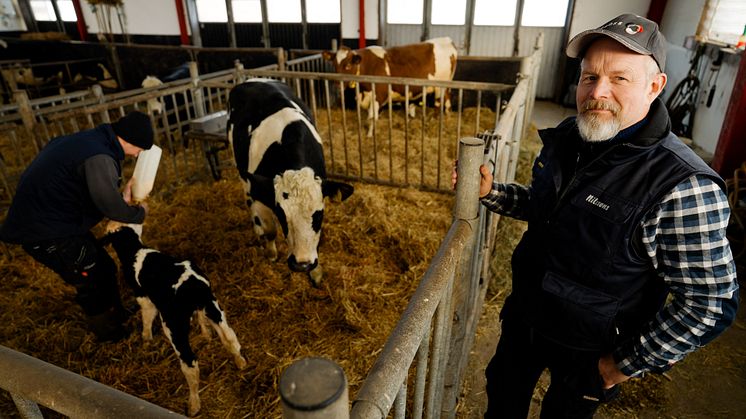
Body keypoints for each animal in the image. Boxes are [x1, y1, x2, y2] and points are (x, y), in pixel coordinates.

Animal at [100, 221, 246, 418]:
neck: (135, 250)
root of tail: (193, 286)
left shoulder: (143, 296)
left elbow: (147, 317)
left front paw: (146, 340)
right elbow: (201, 319)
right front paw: (206, 335)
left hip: (173, 324)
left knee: (190, 363)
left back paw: (194, 405)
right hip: (213, 306)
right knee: (230, 339)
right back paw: (240, 363)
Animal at [225, 79, 354, 286]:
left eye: (319, 214)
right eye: (281, 214)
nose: (302, 264)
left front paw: (315, 272)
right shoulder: (261, 193)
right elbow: (270, 230)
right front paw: (271, 253)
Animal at [322, 37, 456, 136]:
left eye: (348, 65)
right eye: (334, 64)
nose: (337, 84)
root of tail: (447, 40)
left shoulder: (379, 96)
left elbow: (372, 117)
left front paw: (370, 135)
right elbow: (371, 117)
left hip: (440, 87)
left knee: (439, 104)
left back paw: (434, 121)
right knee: (448, 101)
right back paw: (448, 119)